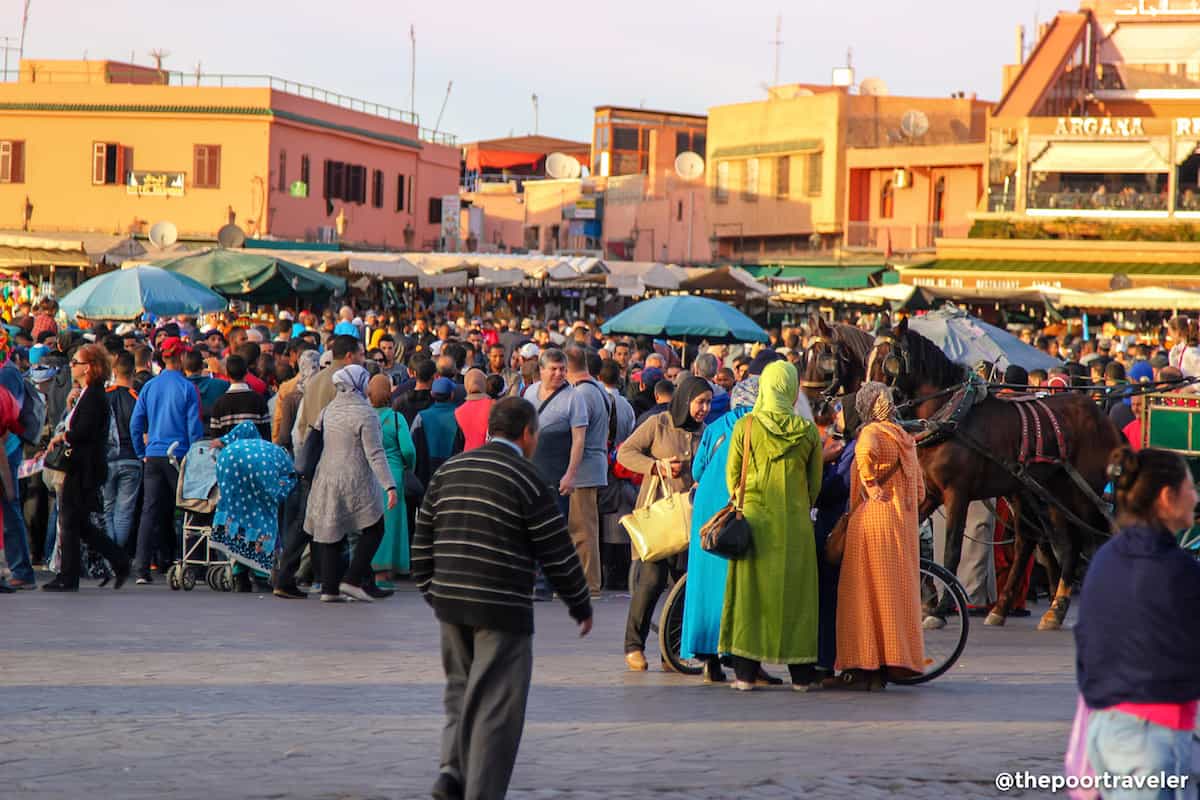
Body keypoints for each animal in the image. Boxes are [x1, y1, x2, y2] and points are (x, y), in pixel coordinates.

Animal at [868, 319, 1118, 633]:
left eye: (886, 361)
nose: (865, 404)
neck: (950, 417)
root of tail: (1101, 416)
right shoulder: (932, 492)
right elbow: (914, 537)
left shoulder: (958, 493)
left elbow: (952, 550)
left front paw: (940, 608)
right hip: (1048, 491)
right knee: (1048, 542)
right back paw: (1029, 609)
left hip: (1081, 493)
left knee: (1089, 541)